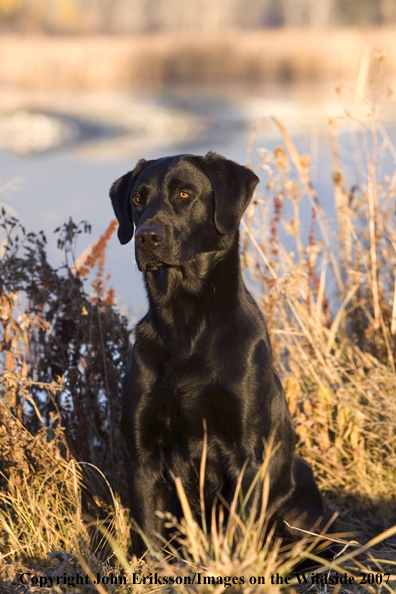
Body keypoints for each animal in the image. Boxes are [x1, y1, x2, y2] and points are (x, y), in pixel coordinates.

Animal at [110, 151, 328, 552]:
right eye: (137, 199)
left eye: (184, 194)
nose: (147, 235)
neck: (186, 324)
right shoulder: (142, 456)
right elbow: (148, 536)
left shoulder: (247, 456)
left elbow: (238, 533)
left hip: (298, 510)